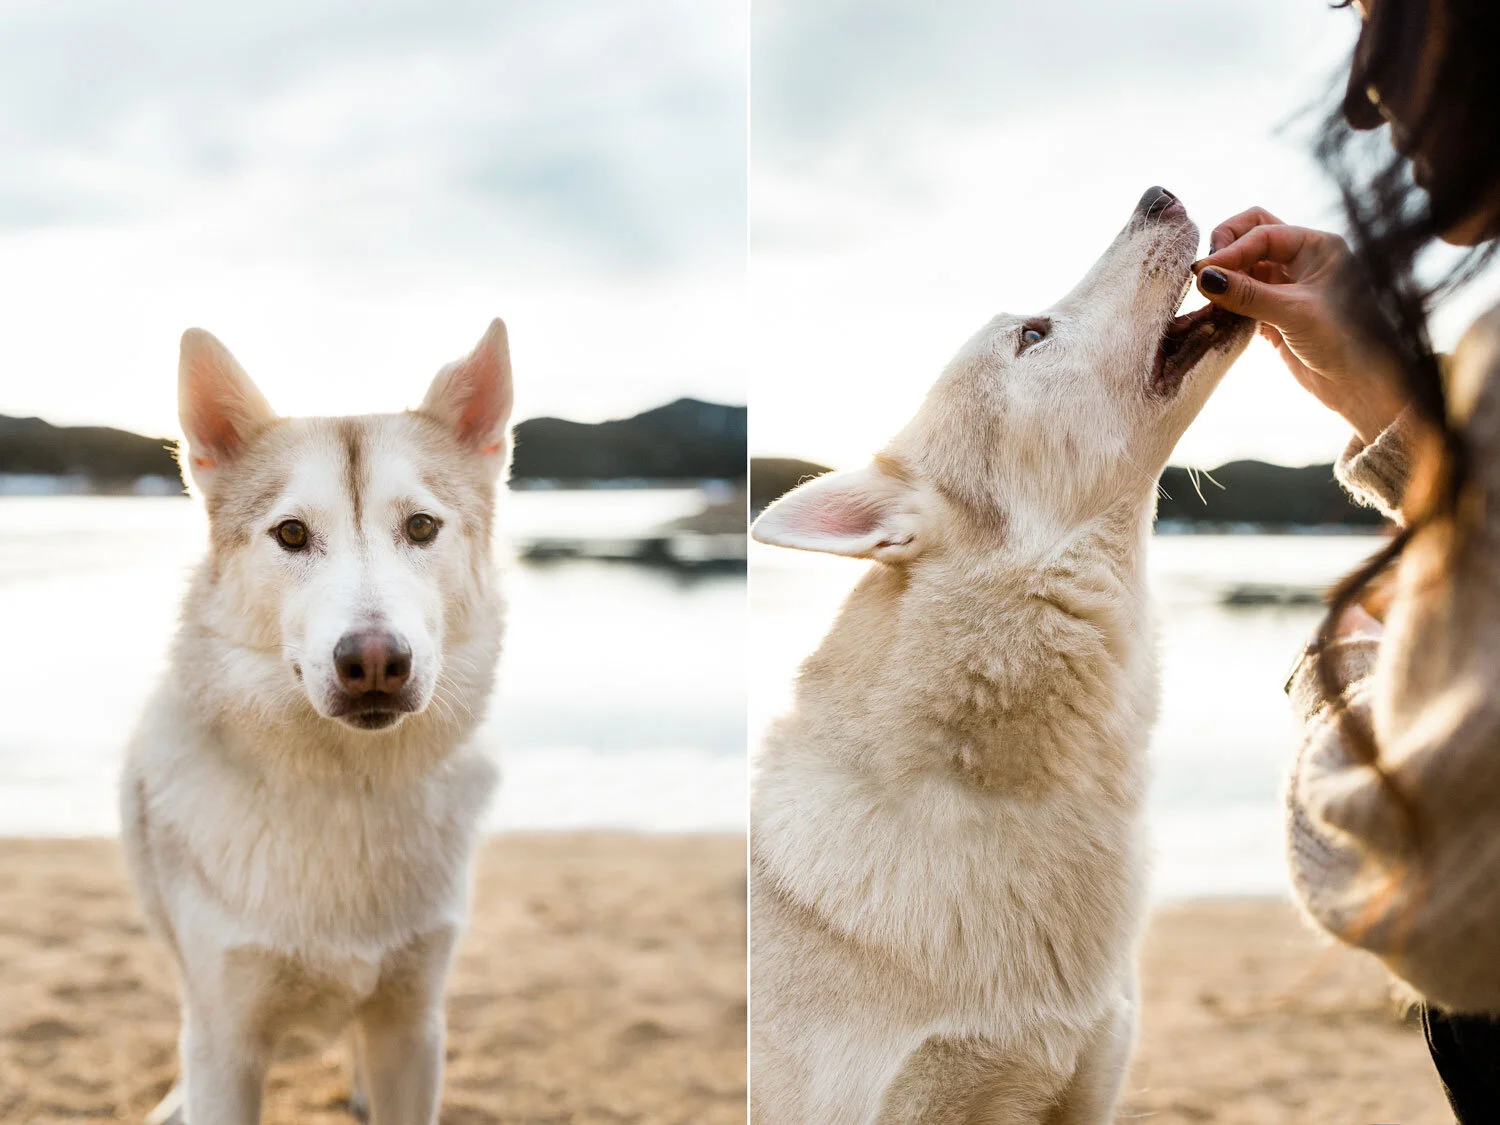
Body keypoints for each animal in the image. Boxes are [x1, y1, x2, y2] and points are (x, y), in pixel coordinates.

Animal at [120, 318, 516, 1125]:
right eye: (293, 535)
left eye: (421, 526)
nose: (374, 661)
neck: (348, 791)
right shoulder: (225, 1043)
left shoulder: (413, 1026)